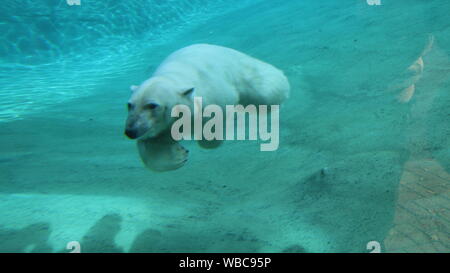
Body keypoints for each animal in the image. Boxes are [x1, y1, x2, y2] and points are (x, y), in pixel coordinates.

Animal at [125, 43, 290, 171]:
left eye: (152, 105)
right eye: (129, 105)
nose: (130, 131)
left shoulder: (212, 96)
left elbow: (215, 120)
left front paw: (207, 138)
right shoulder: (160, 127)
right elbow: (152, 146)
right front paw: (179, 155)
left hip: (242, 69)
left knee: (265, 92)